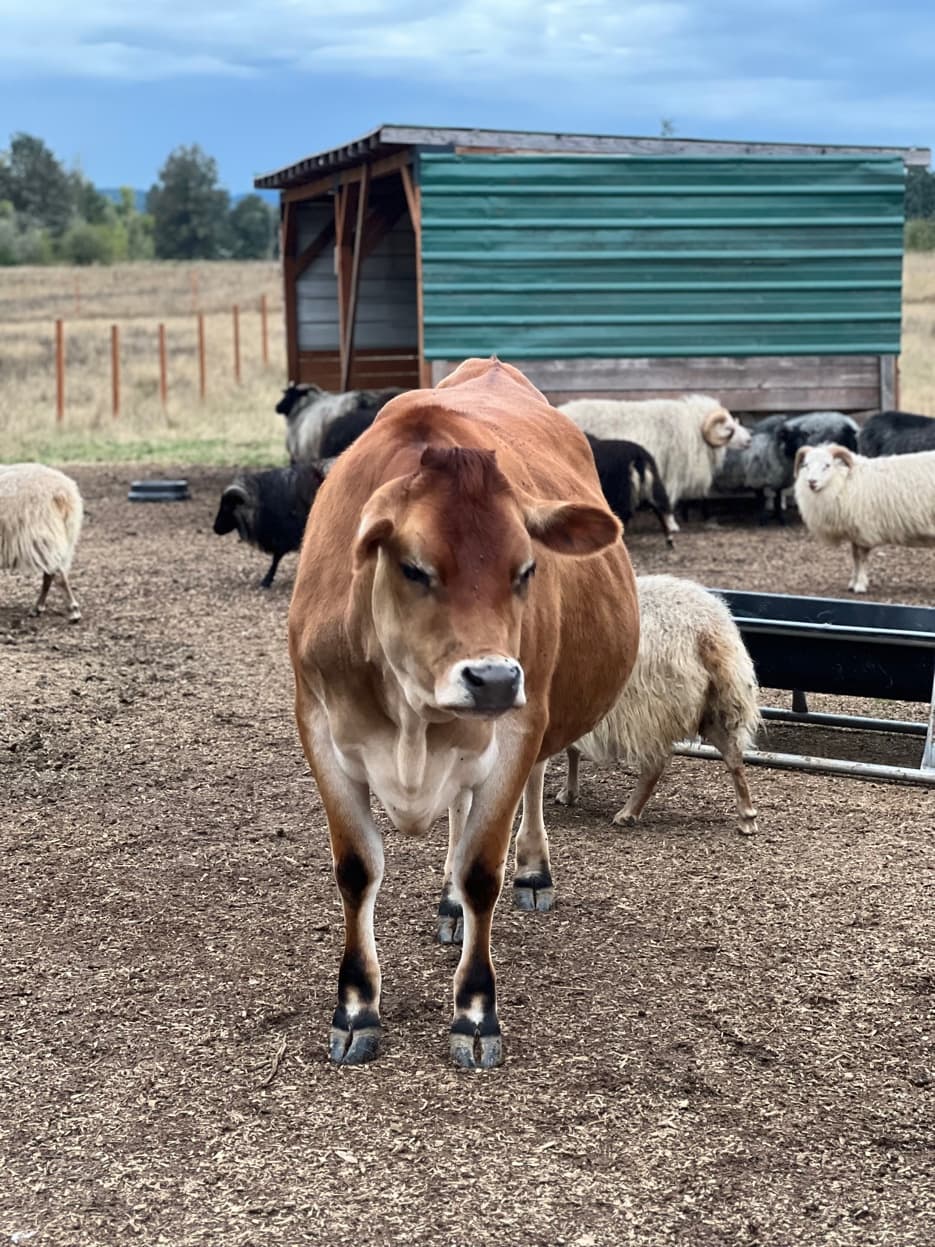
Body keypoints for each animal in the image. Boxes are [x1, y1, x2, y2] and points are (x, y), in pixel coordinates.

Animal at [0, 463, 83, 622]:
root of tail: (62, 492)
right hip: (60, 535)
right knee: (50, 574)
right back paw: (38, 608)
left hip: (39, 535)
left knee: (56, 574)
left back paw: (72, 610)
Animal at [288, 358, 639, 1069]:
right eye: (415, 568)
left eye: (526, 569)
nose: (495, 678)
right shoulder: (320, 732)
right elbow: (357, 869)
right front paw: (356, 1006)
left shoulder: (515, 730)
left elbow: (483, 871)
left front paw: (475, 1014)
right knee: (456, 809)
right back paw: (448, 903)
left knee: (528, 788)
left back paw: (531, 869)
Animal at [554, 574, 760, 835]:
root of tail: (706, 631)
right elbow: (571, 749)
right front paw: (569, 793)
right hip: (716, 705)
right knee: (734, 756)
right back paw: (747, 816)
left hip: (648, 708)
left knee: (655, 764)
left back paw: (628, 813)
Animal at [793, 444, 935, 593]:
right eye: (806, 465)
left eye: (827, 465)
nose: (811, 482)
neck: (843, 481)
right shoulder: (854, 533)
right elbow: (855, 557)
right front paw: (852, 583)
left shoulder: (864, 530)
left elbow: (861, 558)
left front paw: (860, 585)